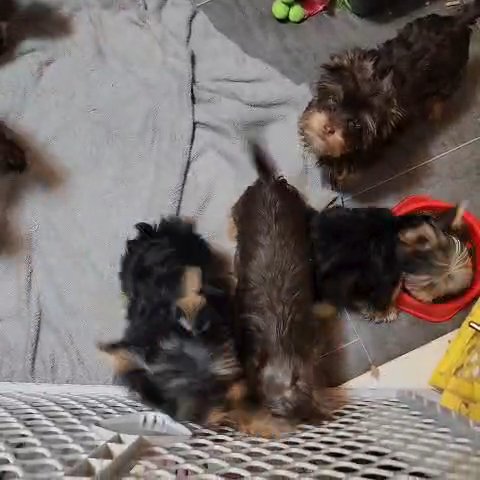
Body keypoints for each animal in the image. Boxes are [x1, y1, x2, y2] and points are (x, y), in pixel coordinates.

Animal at [298, 1, 480, 189]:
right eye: (333, 100)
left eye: (355, 124)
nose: (328, 128)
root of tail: (457, 22)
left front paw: (339, 171)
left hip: (451, 75)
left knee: (444, 93)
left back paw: (434, 110)